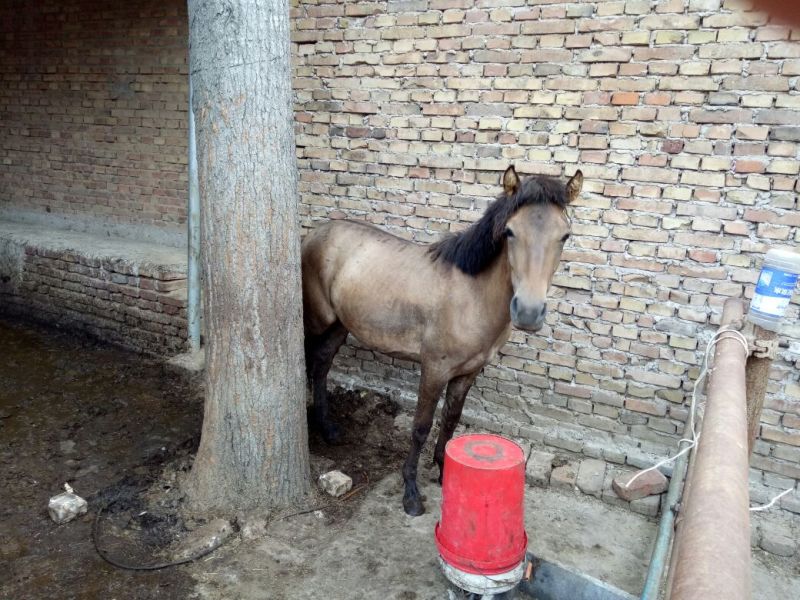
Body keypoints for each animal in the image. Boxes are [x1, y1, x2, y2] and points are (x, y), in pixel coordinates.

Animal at [302, 165, 583, 516]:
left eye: (565, 235)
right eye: (510, 232)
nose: (529, 312)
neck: (471, 295)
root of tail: (314, 234)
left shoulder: (468, 373)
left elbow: (450, 421)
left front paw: (444, 469)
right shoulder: (434, 369)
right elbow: (421, 427)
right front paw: (410, 493)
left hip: (341, 325)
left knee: (322, 363)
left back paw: (328, 429)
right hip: (316, 320)